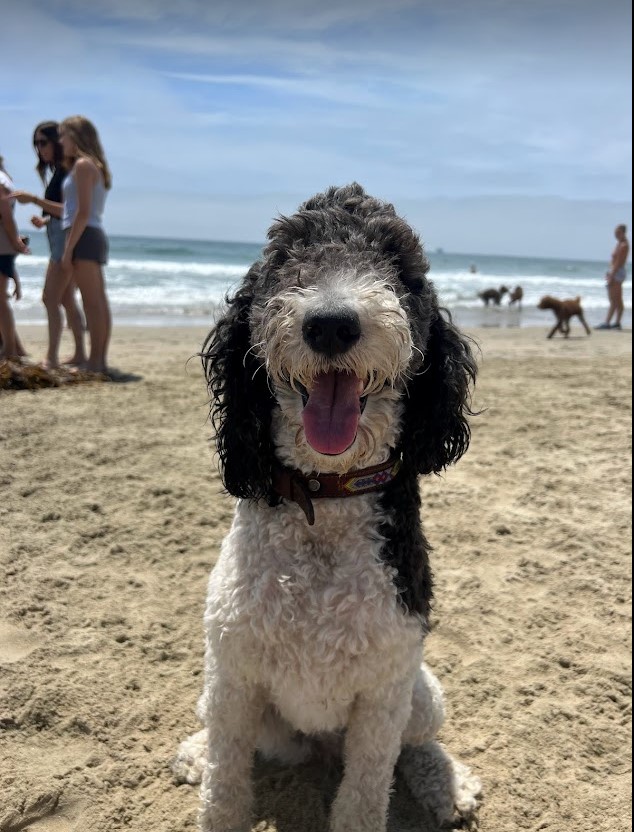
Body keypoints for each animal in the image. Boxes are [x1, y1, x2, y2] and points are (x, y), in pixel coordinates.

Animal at [173, 184, 478, 832]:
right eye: (286, 256)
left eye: (399, 264)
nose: (332, 324)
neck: (325, 496)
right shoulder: (233, 674)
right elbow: (224, 786)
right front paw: (209, 773)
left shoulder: (384, 693)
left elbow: (366, 792)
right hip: (229, 696)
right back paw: (193, 751)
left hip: (422, 696)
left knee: (415, 745)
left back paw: (447, 782)